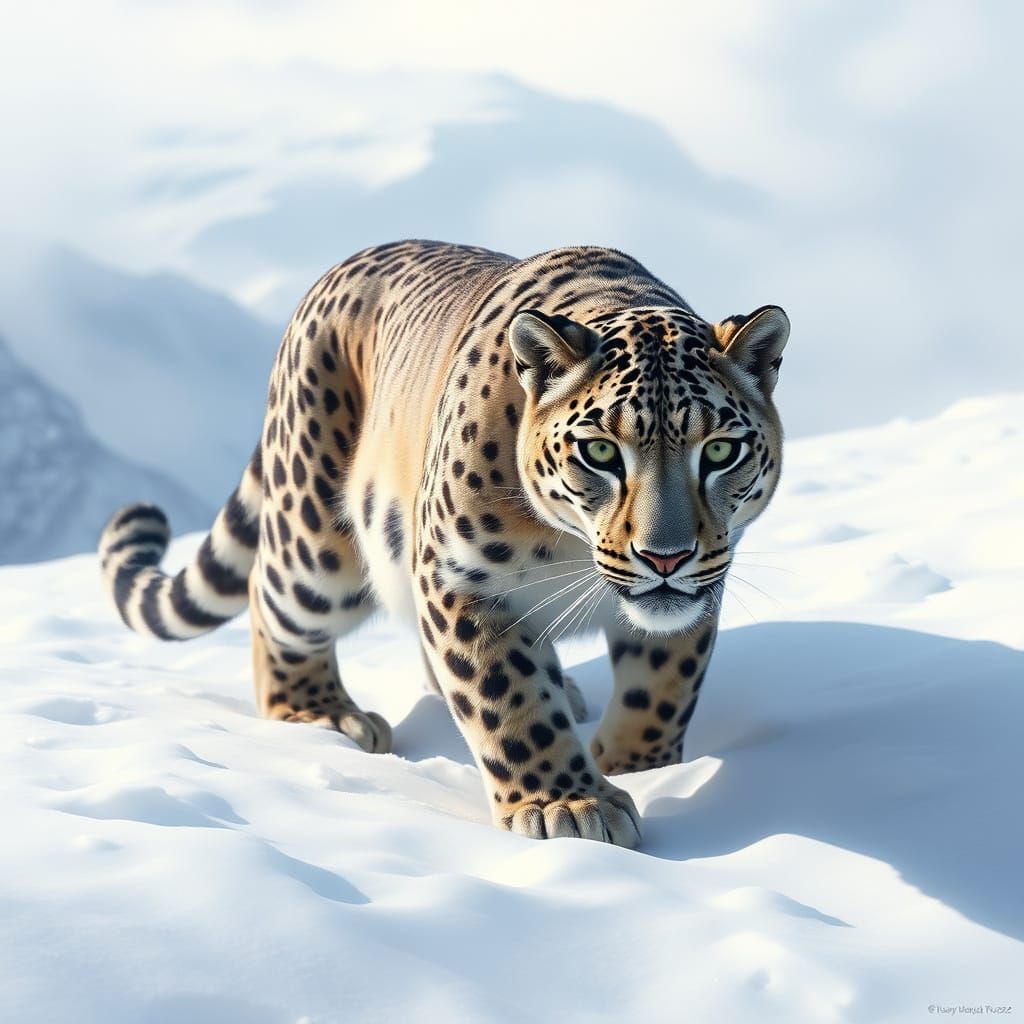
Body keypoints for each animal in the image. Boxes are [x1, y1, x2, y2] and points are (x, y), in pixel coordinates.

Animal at [99, 240, 789, 849]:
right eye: (599, 451)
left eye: (720, 451)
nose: (664, 557)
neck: (569, 548)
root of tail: (336, 272)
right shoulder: (460, 578)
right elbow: (508, 701)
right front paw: (568, 806)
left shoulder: (701, 586)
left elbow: (663, 686)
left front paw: (639, 767)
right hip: (316, 546)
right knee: (273, 604)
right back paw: (323, 717)